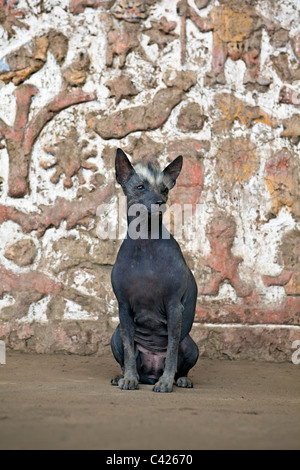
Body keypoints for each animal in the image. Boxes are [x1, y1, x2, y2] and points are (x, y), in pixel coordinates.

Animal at [110, 149, 199, 392]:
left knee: (180, 362)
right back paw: (121, 376)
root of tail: (149, 375)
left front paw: (166, 382)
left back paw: (180, 379)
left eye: (165, 189)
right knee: (125, 358)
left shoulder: (174, 307)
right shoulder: (123, 308)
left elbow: (171, 349)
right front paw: (129, 378)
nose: (160, 202)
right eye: (140, 187)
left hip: (191, 345)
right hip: (114, 335)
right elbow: (129, 350)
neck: (146, 241)